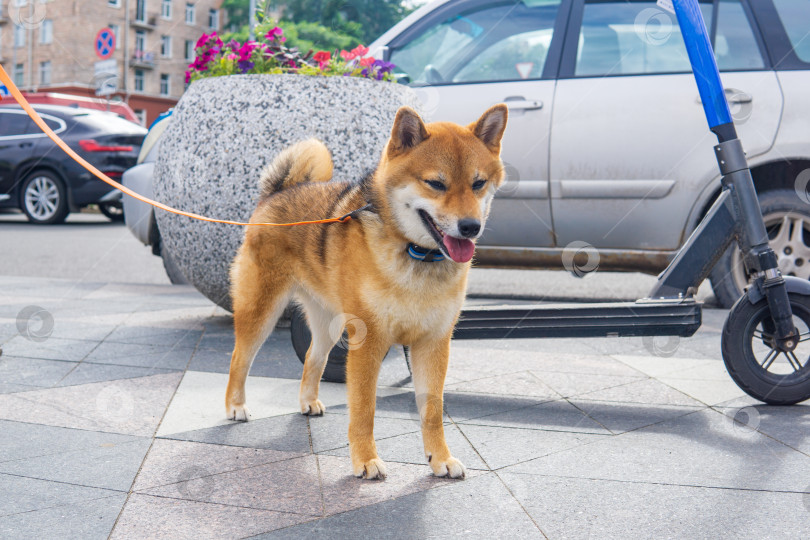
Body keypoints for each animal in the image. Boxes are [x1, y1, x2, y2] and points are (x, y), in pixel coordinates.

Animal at [226, 103, 504, 478]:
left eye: (478, 183)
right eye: (435, 183)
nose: (470, 227)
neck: (416, 255)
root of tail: (278, 192)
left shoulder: (434, 342)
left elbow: (432, 411)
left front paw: (440, 459)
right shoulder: (369, 342)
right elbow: (364, 409)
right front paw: (366, 460)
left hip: (329, 324)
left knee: (312, 358)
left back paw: (307, 402)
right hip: (261, 310)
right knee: (239, 357)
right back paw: (235, 406)